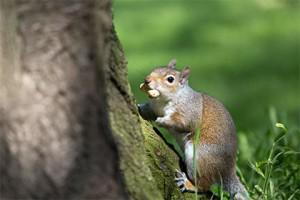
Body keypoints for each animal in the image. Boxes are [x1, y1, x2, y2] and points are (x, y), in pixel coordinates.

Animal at [138, 58, 248, 199]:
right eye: (155, 69)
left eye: (170, 79)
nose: (147, 80)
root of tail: (226, 169)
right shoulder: (154, 108)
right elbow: (149, 111)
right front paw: (139, 107)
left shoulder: (188, 112)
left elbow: (182, 123)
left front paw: (162, 121)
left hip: (199, 156)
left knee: (204, 185)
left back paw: (189, 184)